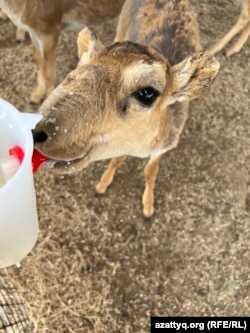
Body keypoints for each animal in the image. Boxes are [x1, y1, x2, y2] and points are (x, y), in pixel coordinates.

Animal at [33, 0, 219, 219]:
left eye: (147, 93)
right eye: (78, 68)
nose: (40, 131)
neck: (142, 149)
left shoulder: (164, 147)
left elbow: (150, 172)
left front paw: (148, 207)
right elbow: (117, 159)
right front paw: (102, 185)